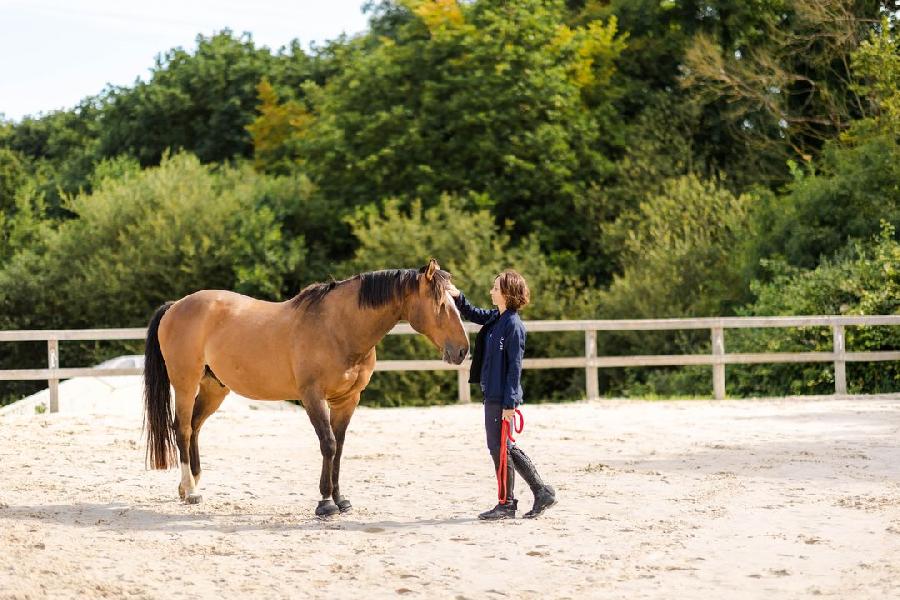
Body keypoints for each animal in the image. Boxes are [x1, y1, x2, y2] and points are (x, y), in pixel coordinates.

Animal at [141, 258, 472, 516]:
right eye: (441, 304)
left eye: (457, 301)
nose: (462, 351)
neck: (339, 327)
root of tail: (176, 306)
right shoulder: (312, 396)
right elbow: (328, 444)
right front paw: (325, 503)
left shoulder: (347, 399)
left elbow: (339, 447)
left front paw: (341, 499)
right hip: (185, 382)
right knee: (183, 428)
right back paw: (191, 490)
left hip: (214, 388)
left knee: (196, 427)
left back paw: (190, 485)